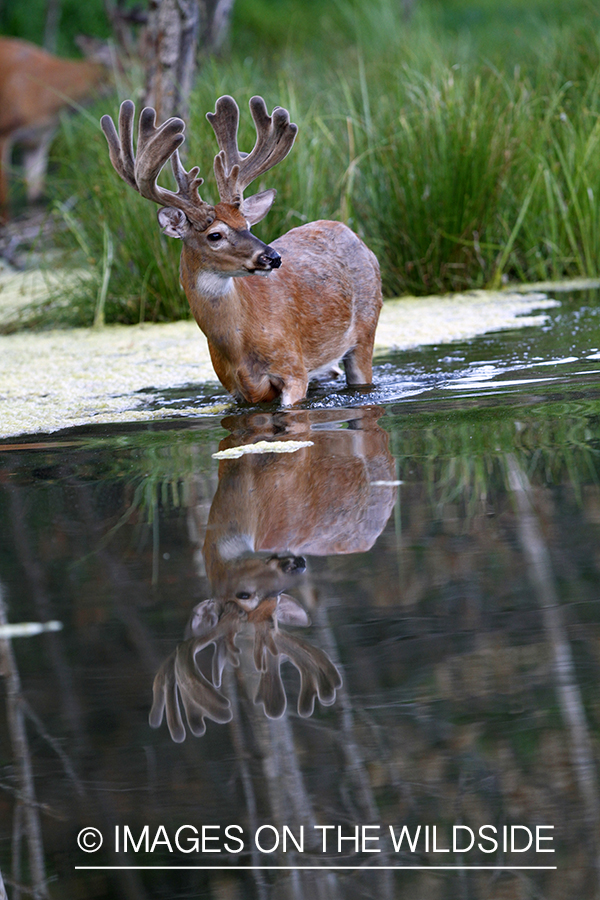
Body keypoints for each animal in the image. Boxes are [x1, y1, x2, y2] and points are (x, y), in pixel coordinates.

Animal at [98, 96, 380, 404]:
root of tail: (351, 233)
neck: (240, 345)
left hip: (366, 330)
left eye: (247, 225)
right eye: (215, 235)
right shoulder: (233, 387)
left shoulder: (293, 368)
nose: (273, 257)